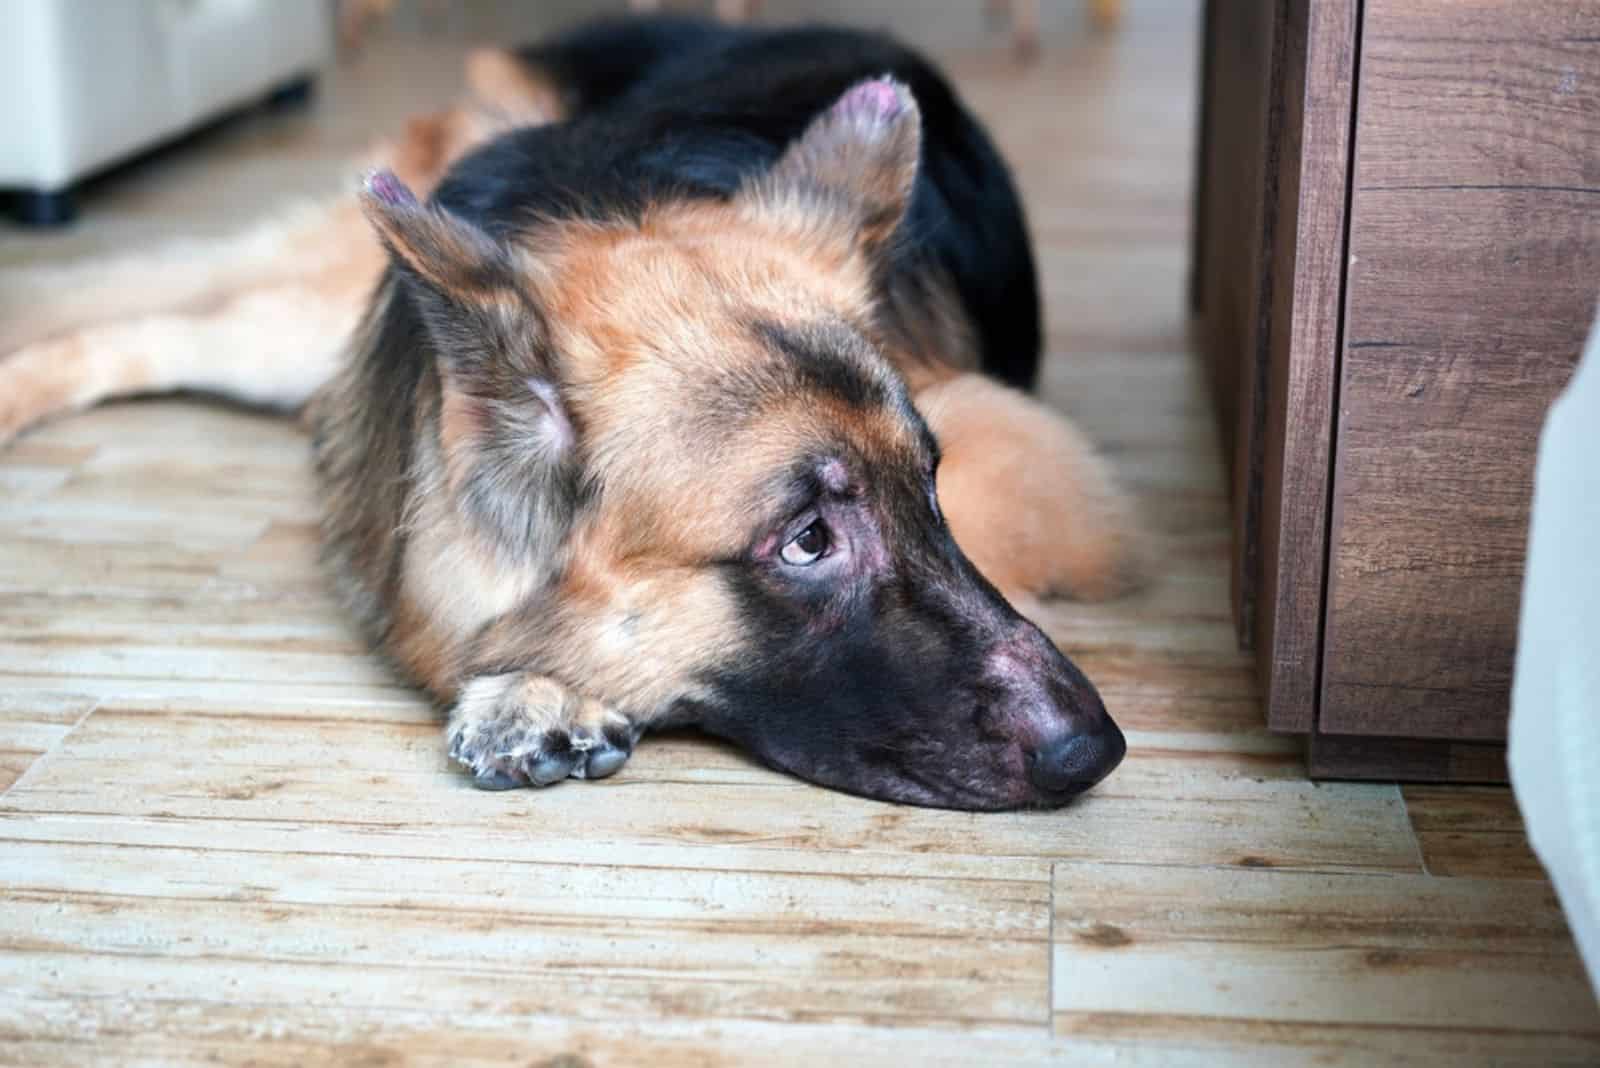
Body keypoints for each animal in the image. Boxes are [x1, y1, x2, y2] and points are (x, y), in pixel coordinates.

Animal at [0, 14, 1139, 808]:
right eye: (808, 538)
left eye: (928, 490)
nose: (1099, 748)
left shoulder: (1035, 463)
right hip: (311, 326)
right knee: (137, 321)